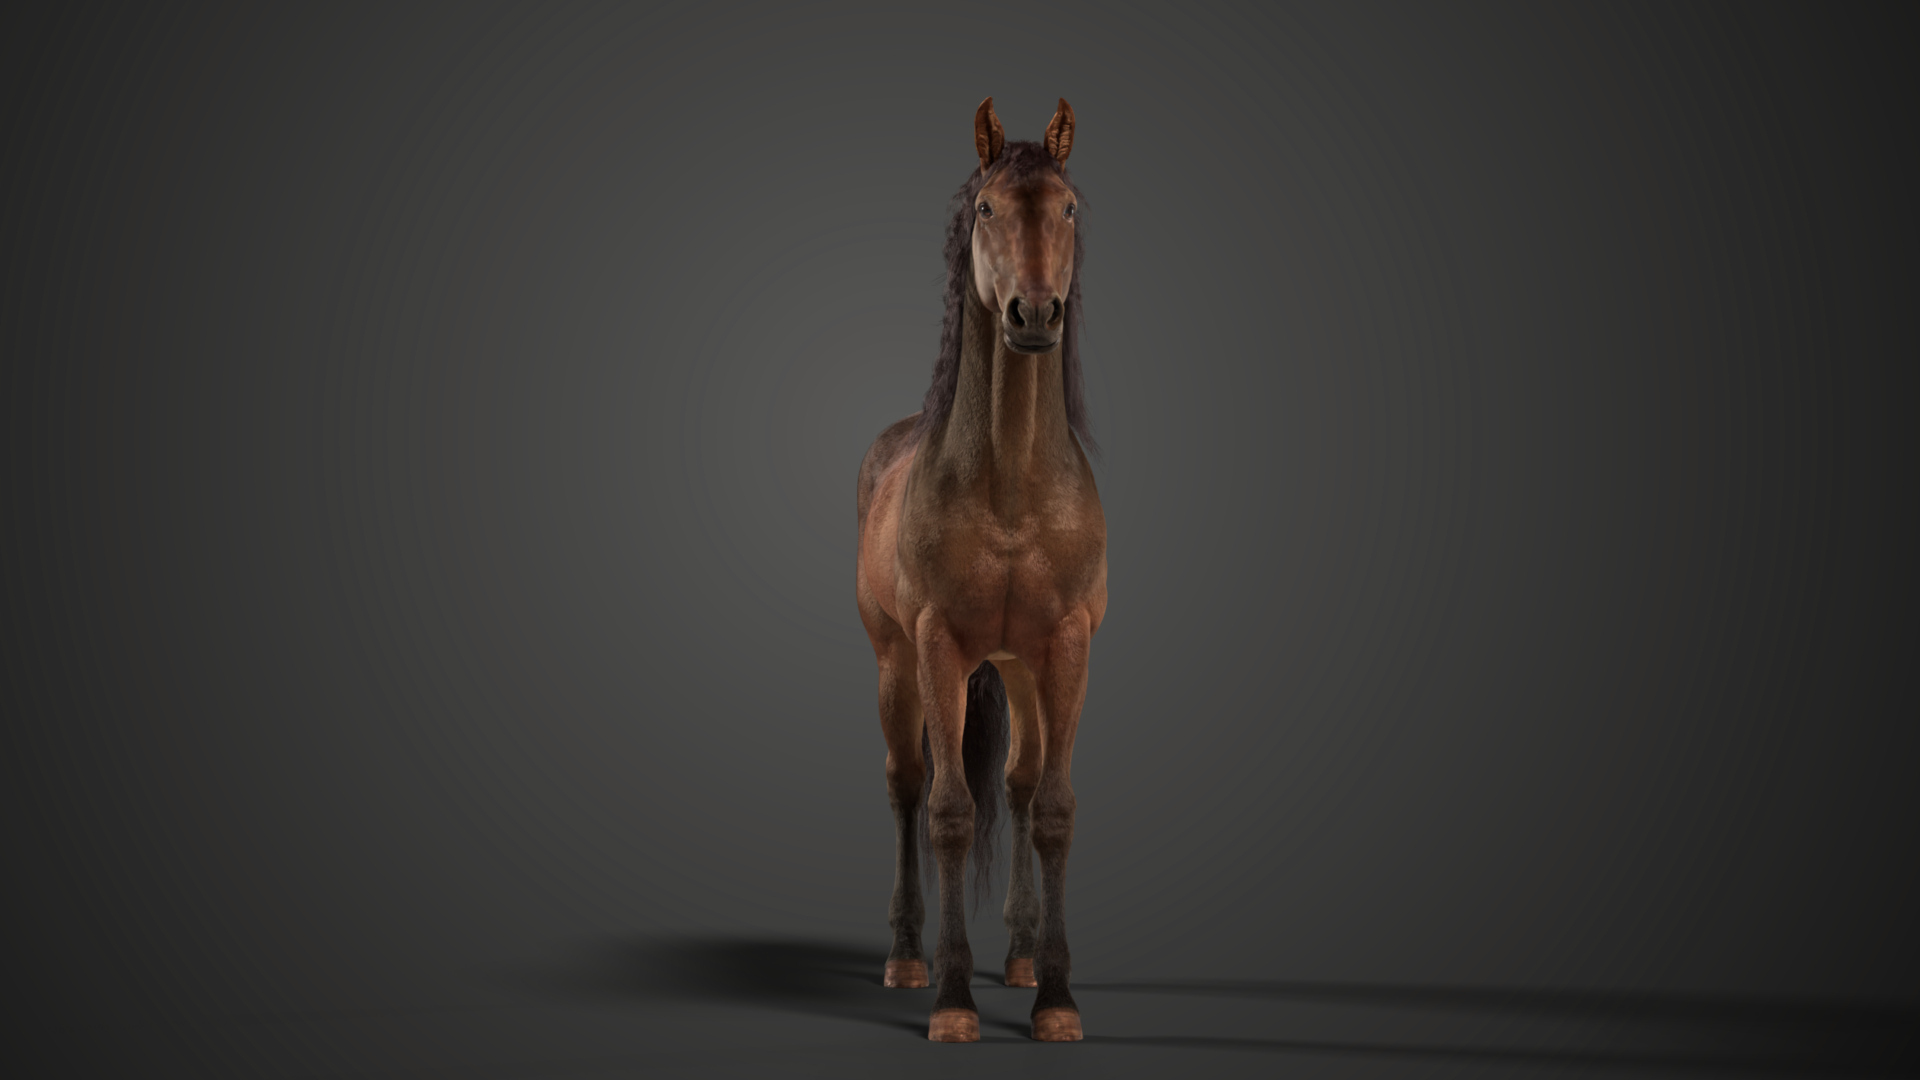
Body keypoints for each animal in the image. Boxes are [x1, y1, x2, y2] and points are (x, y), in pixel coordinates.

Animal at [855, 96, 1105, 1043]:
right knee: (905, 787)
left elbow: (1054, 808)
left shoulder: (1064, 649)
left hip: (1021, 672)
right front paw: (955, 1001)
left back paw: (1026, 954)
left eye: (1068, 209)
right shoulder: (937, 648)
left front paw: (1056, 999)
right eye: (989, 207)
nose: (1034, 315)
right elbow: (951, 812)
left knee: (1024, 788)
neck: (1008, 487)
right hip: (896, 665)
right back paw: (905, 957)